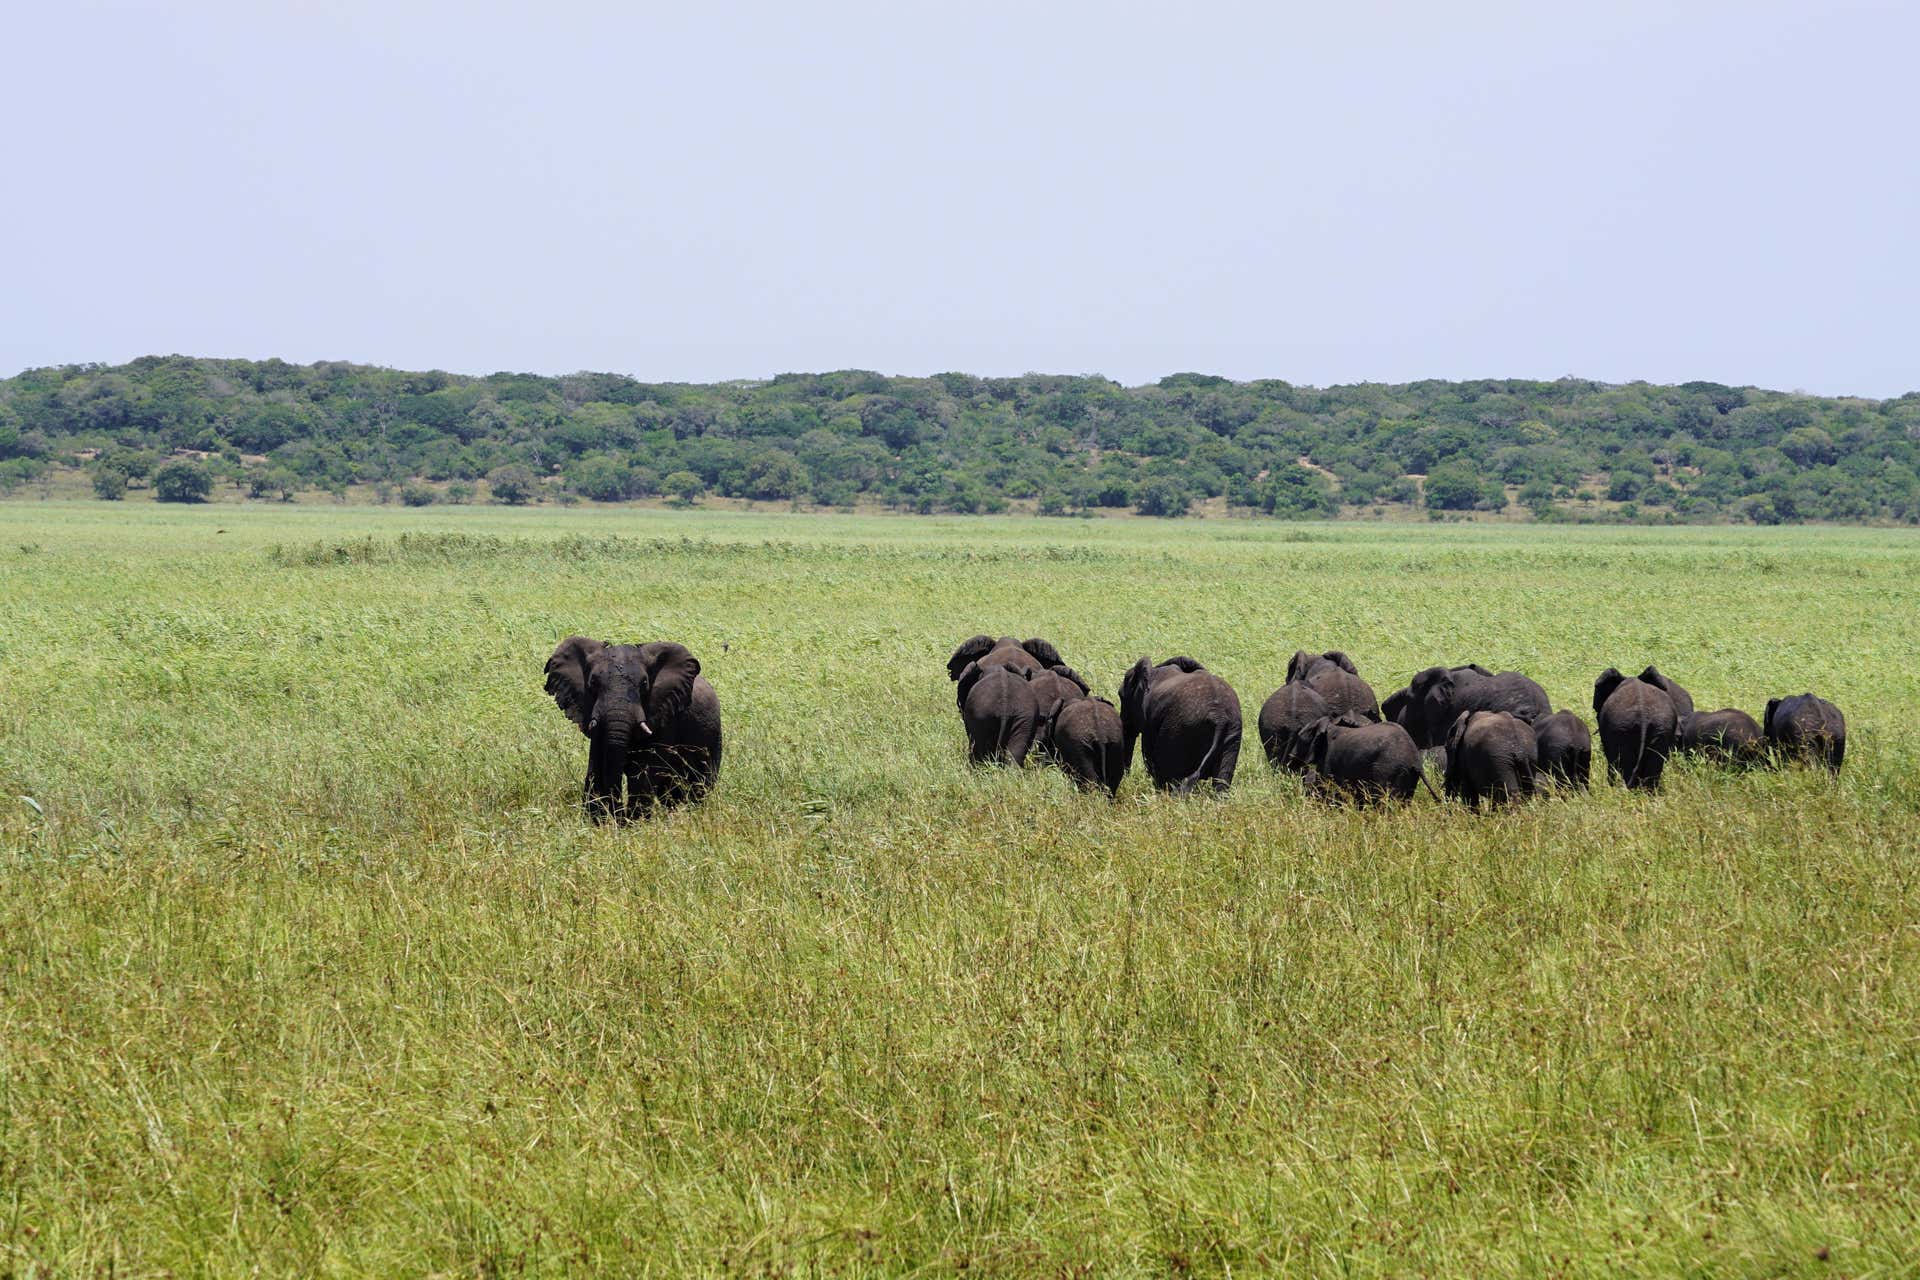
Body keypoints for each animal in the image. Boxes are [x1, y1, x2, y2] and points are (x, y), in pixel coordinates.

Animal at [545, 637, 721, 821]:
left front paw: (633, 823)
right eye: (593, 682)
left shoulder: (663, 716)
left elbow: (642, 773)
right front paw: (598, 822)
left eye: (644, 684)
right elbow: (595, 768)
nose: (617, 813)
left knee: (696, 786)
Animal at [1121, 660, 1236, 790]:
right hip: (1232, 734)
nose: (1127, 778)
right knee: (1222, 780)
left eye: (1121, 696)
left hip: (1179, 729)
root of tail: (1219, 717)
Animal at [1282, 717, 1436, 805]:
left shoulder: (1329, 758)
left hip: (1389, 770)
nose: (1291, 759)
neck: (1329, 725)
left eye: (1300, 738)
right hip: (1407, 776)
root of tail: (1415, 760)